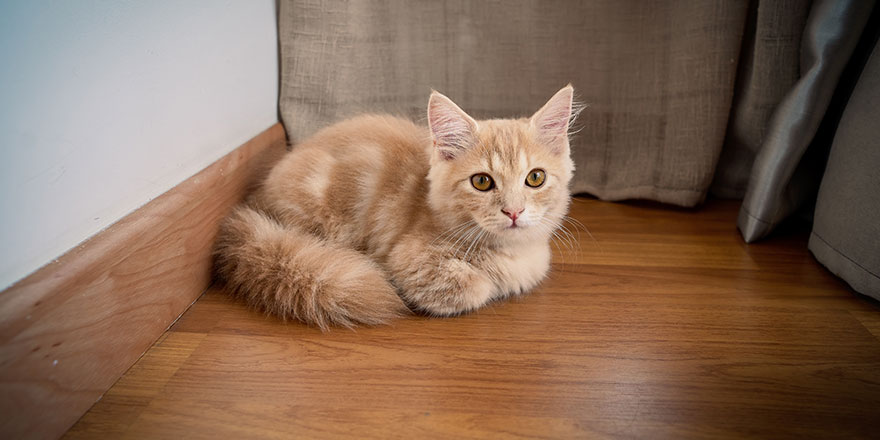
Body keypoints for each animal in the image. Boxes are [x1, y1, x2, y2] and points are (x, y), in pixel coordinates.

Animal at [215, 85, 576, 330]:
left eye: (535, 178)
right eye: (482, 182)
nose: (514, 212)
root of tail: (256, 202)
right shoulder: (411, 259)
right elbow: (474, 287)